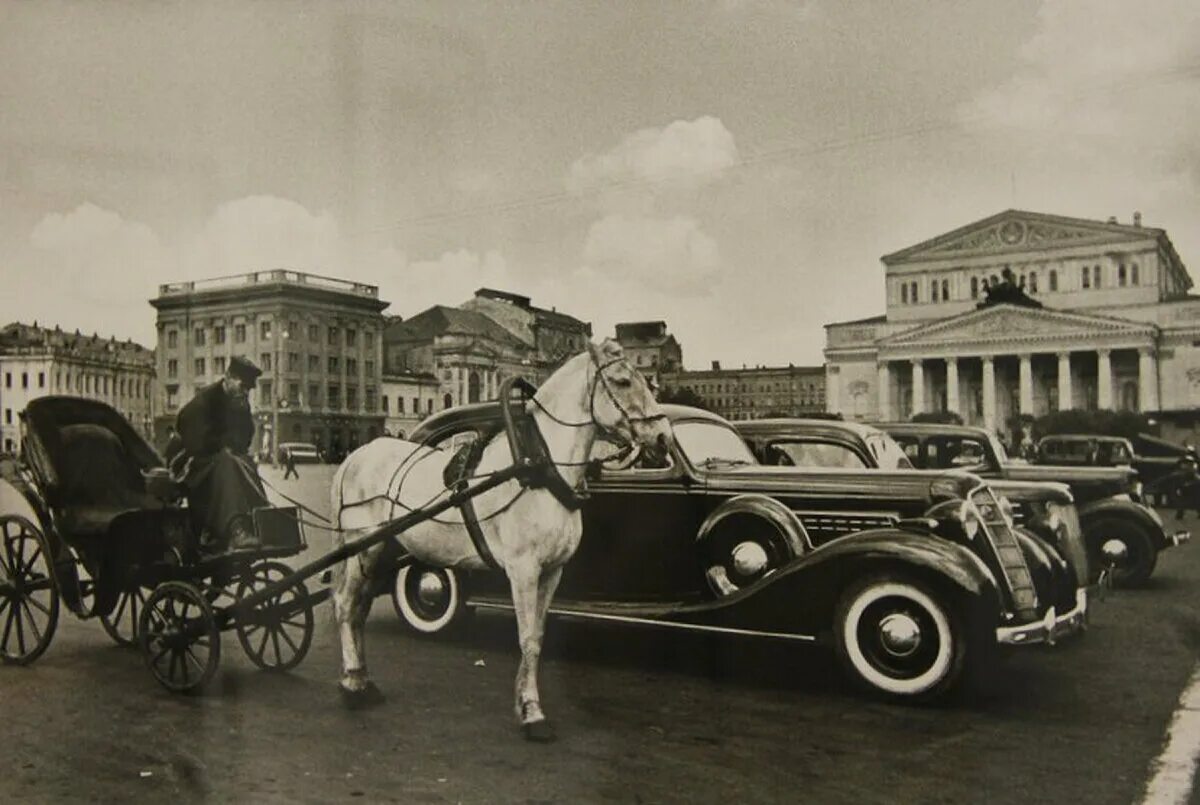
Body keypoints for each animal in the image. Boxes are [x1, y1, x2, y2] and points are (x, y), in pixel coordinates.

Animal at [328, 340, 672, 743]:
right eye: (621, 381)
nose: (664, 437)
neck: (539, 468)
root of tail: (354, 457)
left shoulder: (552, 572)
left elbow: (538, 636)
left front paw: (525, 702)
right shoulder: (523, 570)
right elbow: (526, 638)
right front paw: (533, 713)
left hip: (382, 551)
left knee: (360, 608)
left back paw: (360, 679)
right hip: (363, 546)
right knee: (345, 604)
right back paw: (352, 686)